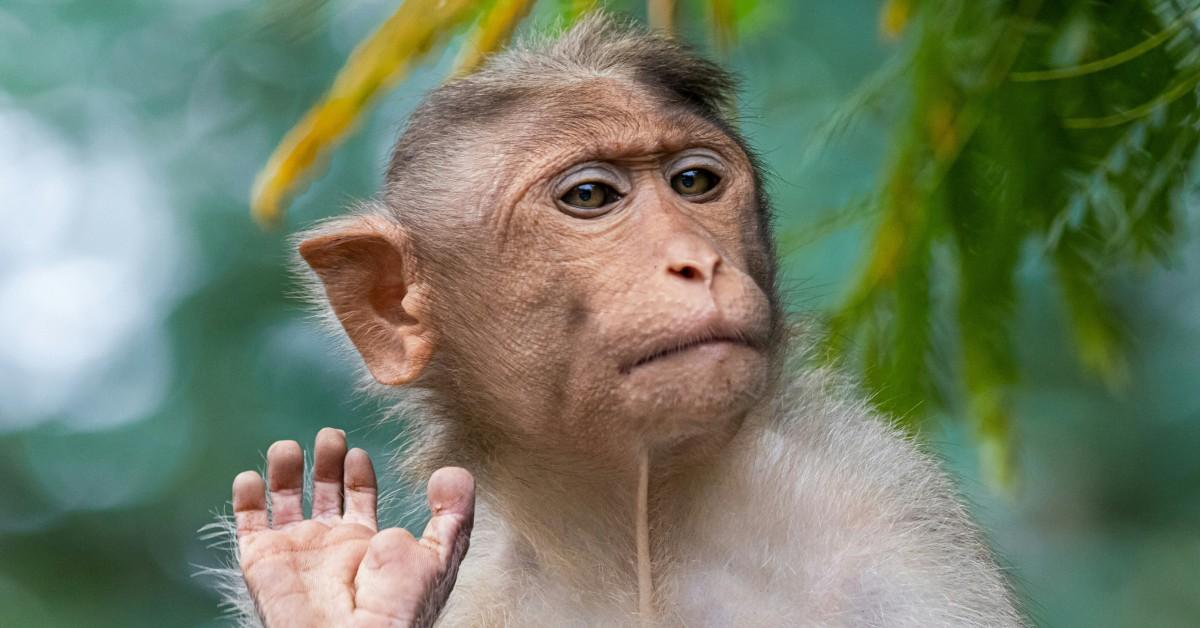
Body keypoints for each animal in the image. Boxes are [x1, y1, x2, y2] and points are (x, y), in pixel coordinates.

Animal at [217, 14, 1025, 628]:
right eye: (590, 197)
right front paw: (333, 587)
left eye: (694, 182)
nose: (697, 262)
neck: (635, 531)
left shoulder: (889, 525)